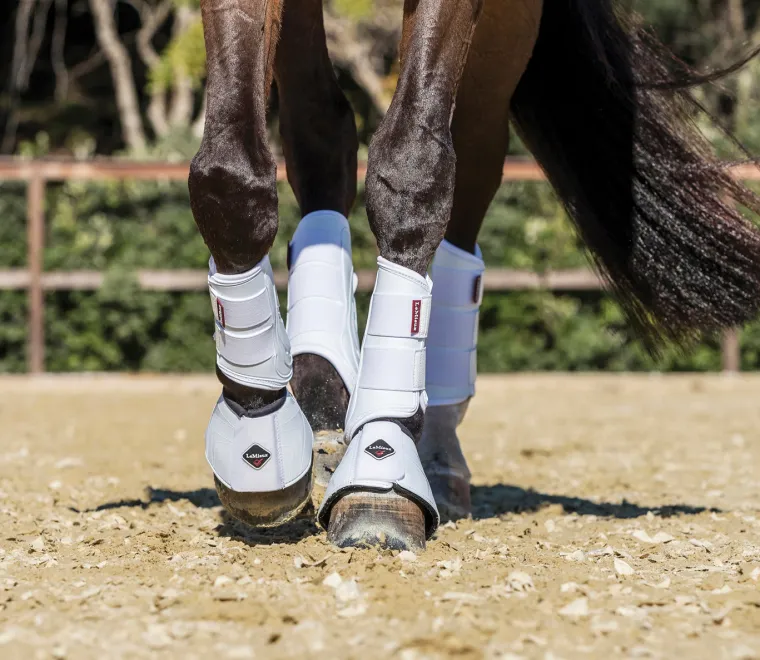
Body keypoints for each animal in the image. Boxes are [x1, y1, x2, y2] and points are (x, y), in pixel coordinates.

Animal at [188, 0, 760, 551]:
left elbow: (414, 169)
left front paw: (381, 464)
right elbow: (228, 177)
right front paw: (259, 437)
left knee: (469, 155)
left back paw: (433, 456)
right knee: (321, 131)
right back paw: (320, 399)